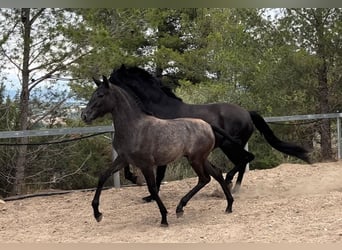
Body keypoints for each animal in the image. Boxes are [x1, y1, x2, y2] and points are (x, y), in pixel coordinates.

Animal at [81, 76, 250, 227]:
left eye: (100, 95)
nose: (84, 115)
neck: (135, 128)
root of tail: (208, 125)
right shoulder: (123, 159)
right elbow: (103, 177)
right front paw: (97, 214)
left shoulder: (146, 164)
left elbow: (153, 188)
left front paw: (164, 218)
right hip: (201, 158)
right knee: (216, 174)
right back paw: (228, 205)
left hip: (195, 159)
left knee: (205, 178)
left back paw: (180, 208)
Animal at [109, 65, 310, 199]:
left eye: (112, 78)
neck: (160, 108)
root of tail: (247, 112)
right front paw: (137, 182)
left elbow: (159, 174)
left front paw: (149, 195)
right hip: (231, 146)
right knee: (243, 161)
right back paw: (233, 188)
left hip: (230, 145)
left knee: (246, 158)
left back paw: (229, 184)